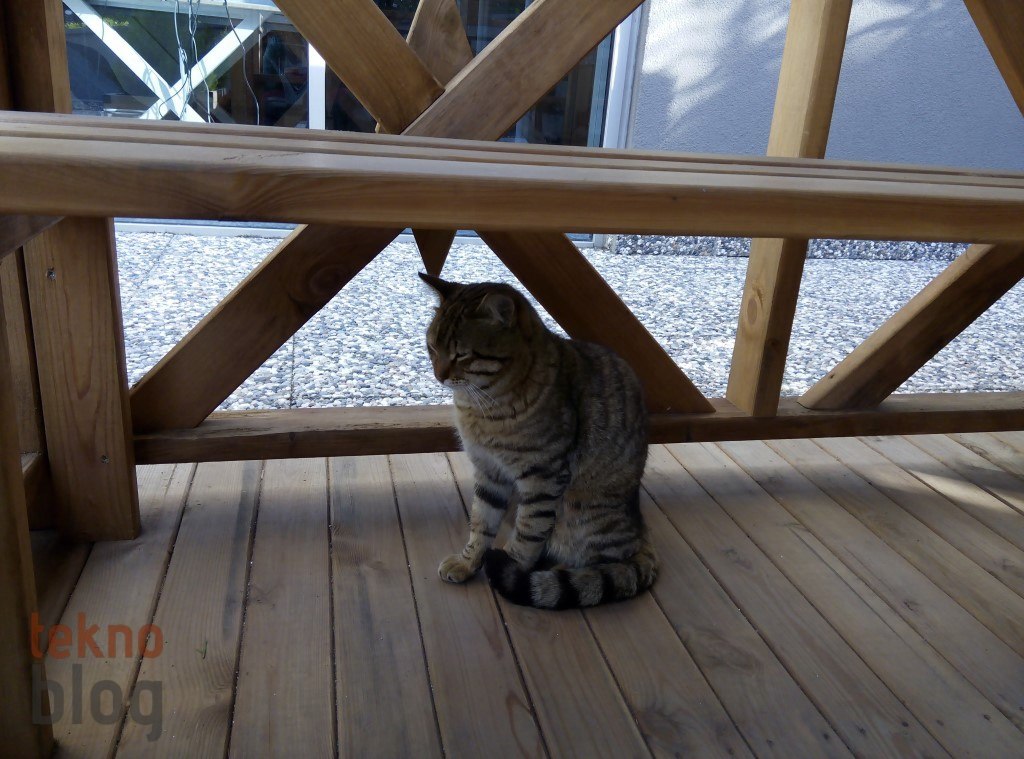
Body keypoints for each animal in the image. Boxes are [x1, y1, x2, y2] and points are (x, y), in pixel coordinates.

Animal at [420, 272, 658, 609]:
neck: (483, 407)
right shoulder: (488, 470)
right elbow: (481, 522)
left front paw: (510, 570)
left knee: (604, 564)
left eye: (461, 355)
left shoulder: (542, 476)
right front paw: (468, 563)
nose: (438, 376)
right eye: (431, 347)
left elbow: (527, 533)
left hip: (583, 513)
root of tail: (641, 533)